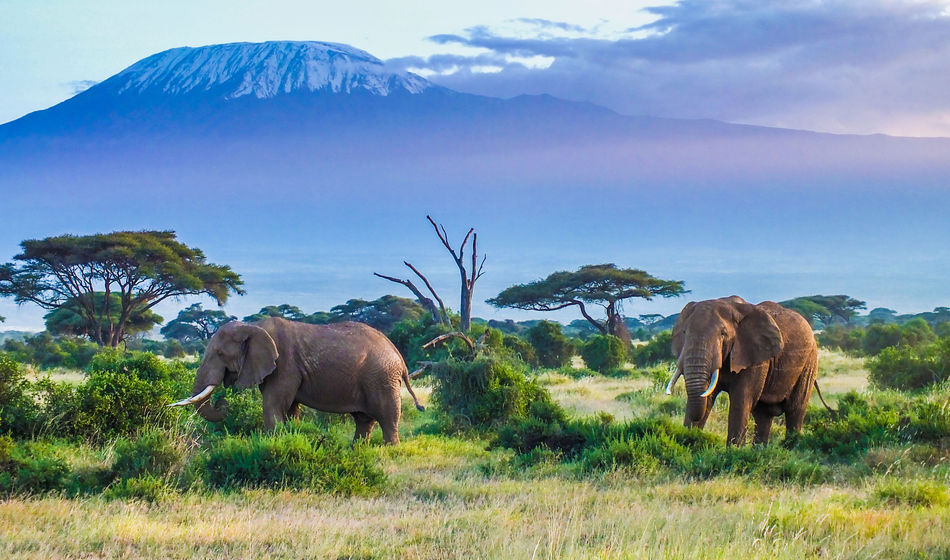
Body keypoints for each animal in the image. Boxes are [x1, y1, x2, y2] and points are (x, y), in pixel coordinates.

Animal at [169, 317, 424, 444]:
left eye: (221, 354)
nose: (224, 403)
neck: (254, 326)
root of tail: (398, 354)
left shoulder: (285, 365)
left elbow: (273, 404)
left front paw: (272, 444)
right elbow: (290, 408)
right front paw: (290, 436)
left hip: (381, 377)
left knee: (387, 417)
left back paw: (390, 449)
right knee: (363, 419)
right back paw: (357, 450)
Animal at [665, 296, 820, 445]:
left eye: (723, 333)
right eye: (684, 332)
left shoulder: (754, 356)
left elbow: (741, 399)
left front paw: (734, 450)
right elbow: (707, 397)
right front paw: (689, 443)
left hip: (810, 361)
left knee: (795, 409)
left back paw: (790, 446)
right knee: (763, 415)